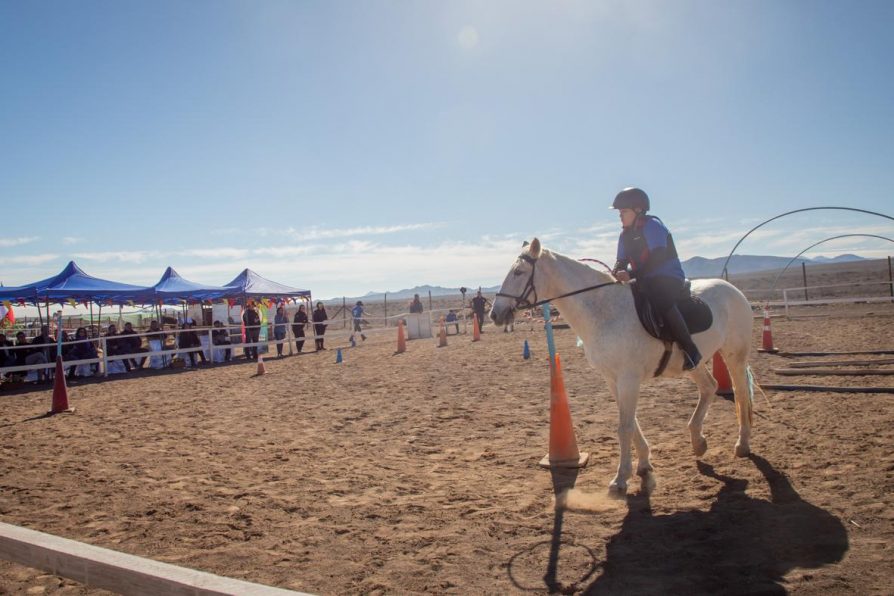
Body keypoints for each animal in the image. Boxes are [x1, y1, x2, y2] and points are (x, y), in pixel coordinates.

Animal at [490, 237, 756, 494]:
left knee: (740, 392)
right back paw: (698, 442)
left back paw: (742, 444)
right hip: (694, 363)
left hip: (734, 355)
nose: (495, 314)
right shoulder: (612, 379)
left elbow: (625, 427)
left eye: (518, 272)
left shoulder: (628, 379)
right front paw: (644, 466)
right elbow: (631, 423)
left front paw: (620, 479)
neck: (604, 312)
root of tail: (733, 290)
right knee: (709, 387)